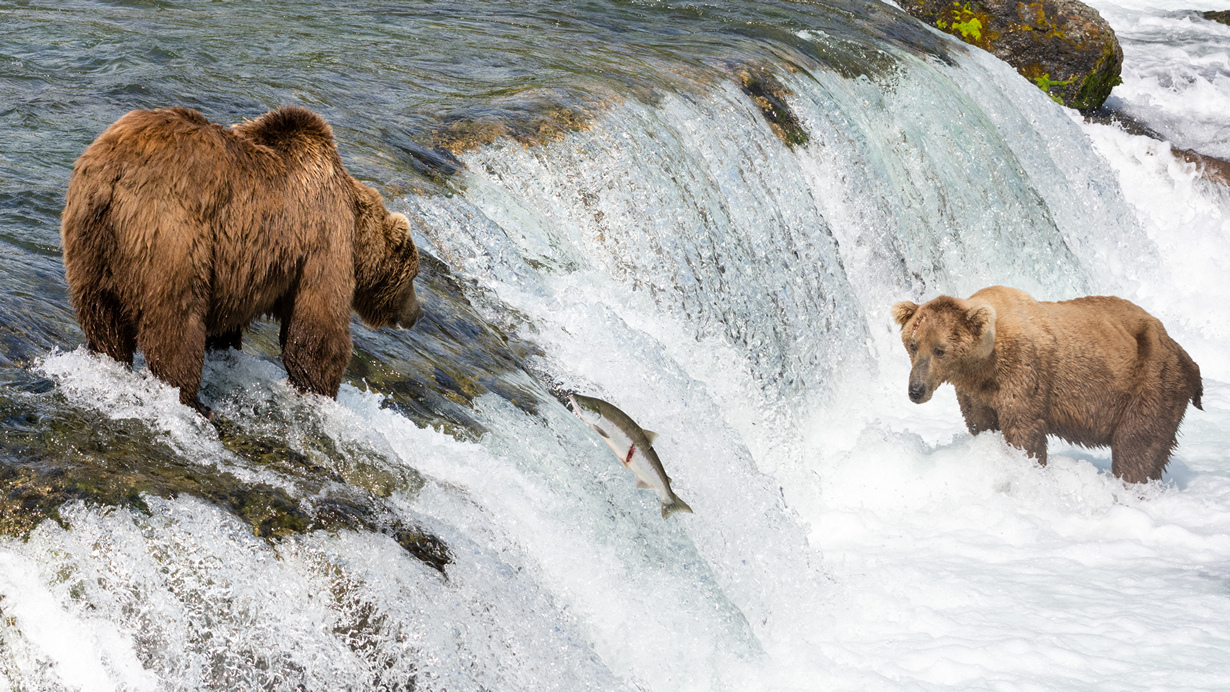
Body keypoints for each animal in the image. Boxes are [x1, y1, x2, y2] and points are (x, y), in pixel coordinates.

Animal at [61, 106, 423, 420]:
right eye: (414, 276)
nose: (416, 314)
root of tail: (113, 174)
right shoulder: (323, 241)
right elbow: (318, 329)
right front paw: (322, 392)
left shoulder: (243, 269)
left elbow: (229, 323)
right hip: (171, 235)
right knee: (175, 321)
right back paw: (194, 402)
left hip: (89, 240)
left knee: (102, 315)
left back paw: (109, 359)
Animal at [895, 283, 1200, 484]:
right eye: (913, 344)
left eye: (940, 349)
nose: (916, 390)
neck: (983, 365)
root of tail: (1181, 351)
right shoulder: (975, 392)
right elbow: (981, 425)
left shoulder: (1022, 371)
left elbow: (1023, 429)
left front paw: (1028, 468)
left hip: (1150, 381)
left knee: (1137, 445)